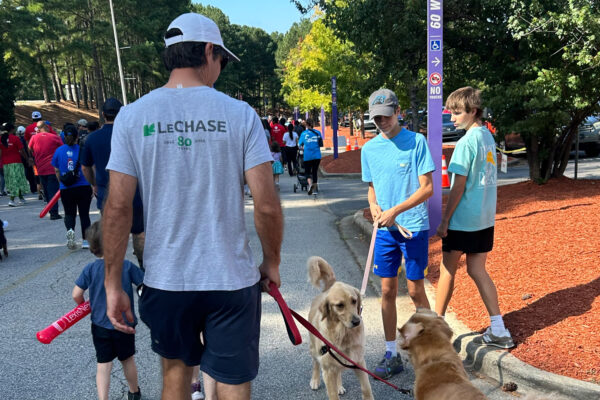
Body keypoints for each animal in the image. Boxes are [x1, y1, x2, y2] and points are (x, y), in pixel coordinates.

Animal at [308, 256, 372, 400]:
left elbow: (366, 388)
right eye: (339, 305)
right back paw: (315, 380)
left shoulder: (358, 361)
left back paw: (339, 386)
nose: (356, 321)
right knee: (315, 363)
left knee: (338, 372)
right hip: (314, 349)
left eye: (354, 301)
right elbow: (333, 395)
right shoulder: (328, 370)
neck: (343, 334)